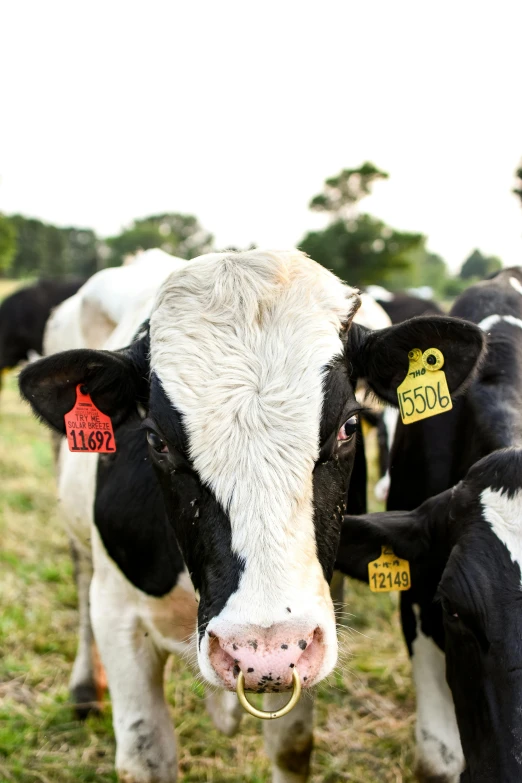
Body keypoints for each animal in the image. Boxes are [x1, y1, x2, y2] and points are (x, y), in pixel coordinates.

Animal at [19, 251, 484, 783]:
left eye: (348, 426)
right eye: (155, 439)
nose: (259, 652)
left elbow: (292, 745)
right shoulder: (118, 615)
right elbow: (146, 754)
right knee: (80, 574)